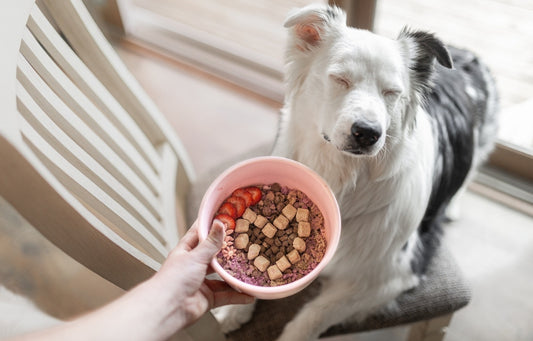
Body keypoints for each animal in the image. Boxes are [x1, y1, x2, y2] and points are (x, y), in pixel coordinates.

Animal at [214, 3, 496, 338]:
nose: (367, 133)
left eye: (391, 92)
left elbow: (314, 314)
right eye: (340, 79)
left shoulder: (390, 276)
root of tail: (466, 54)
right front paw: (233, 308)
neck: (343, 173)